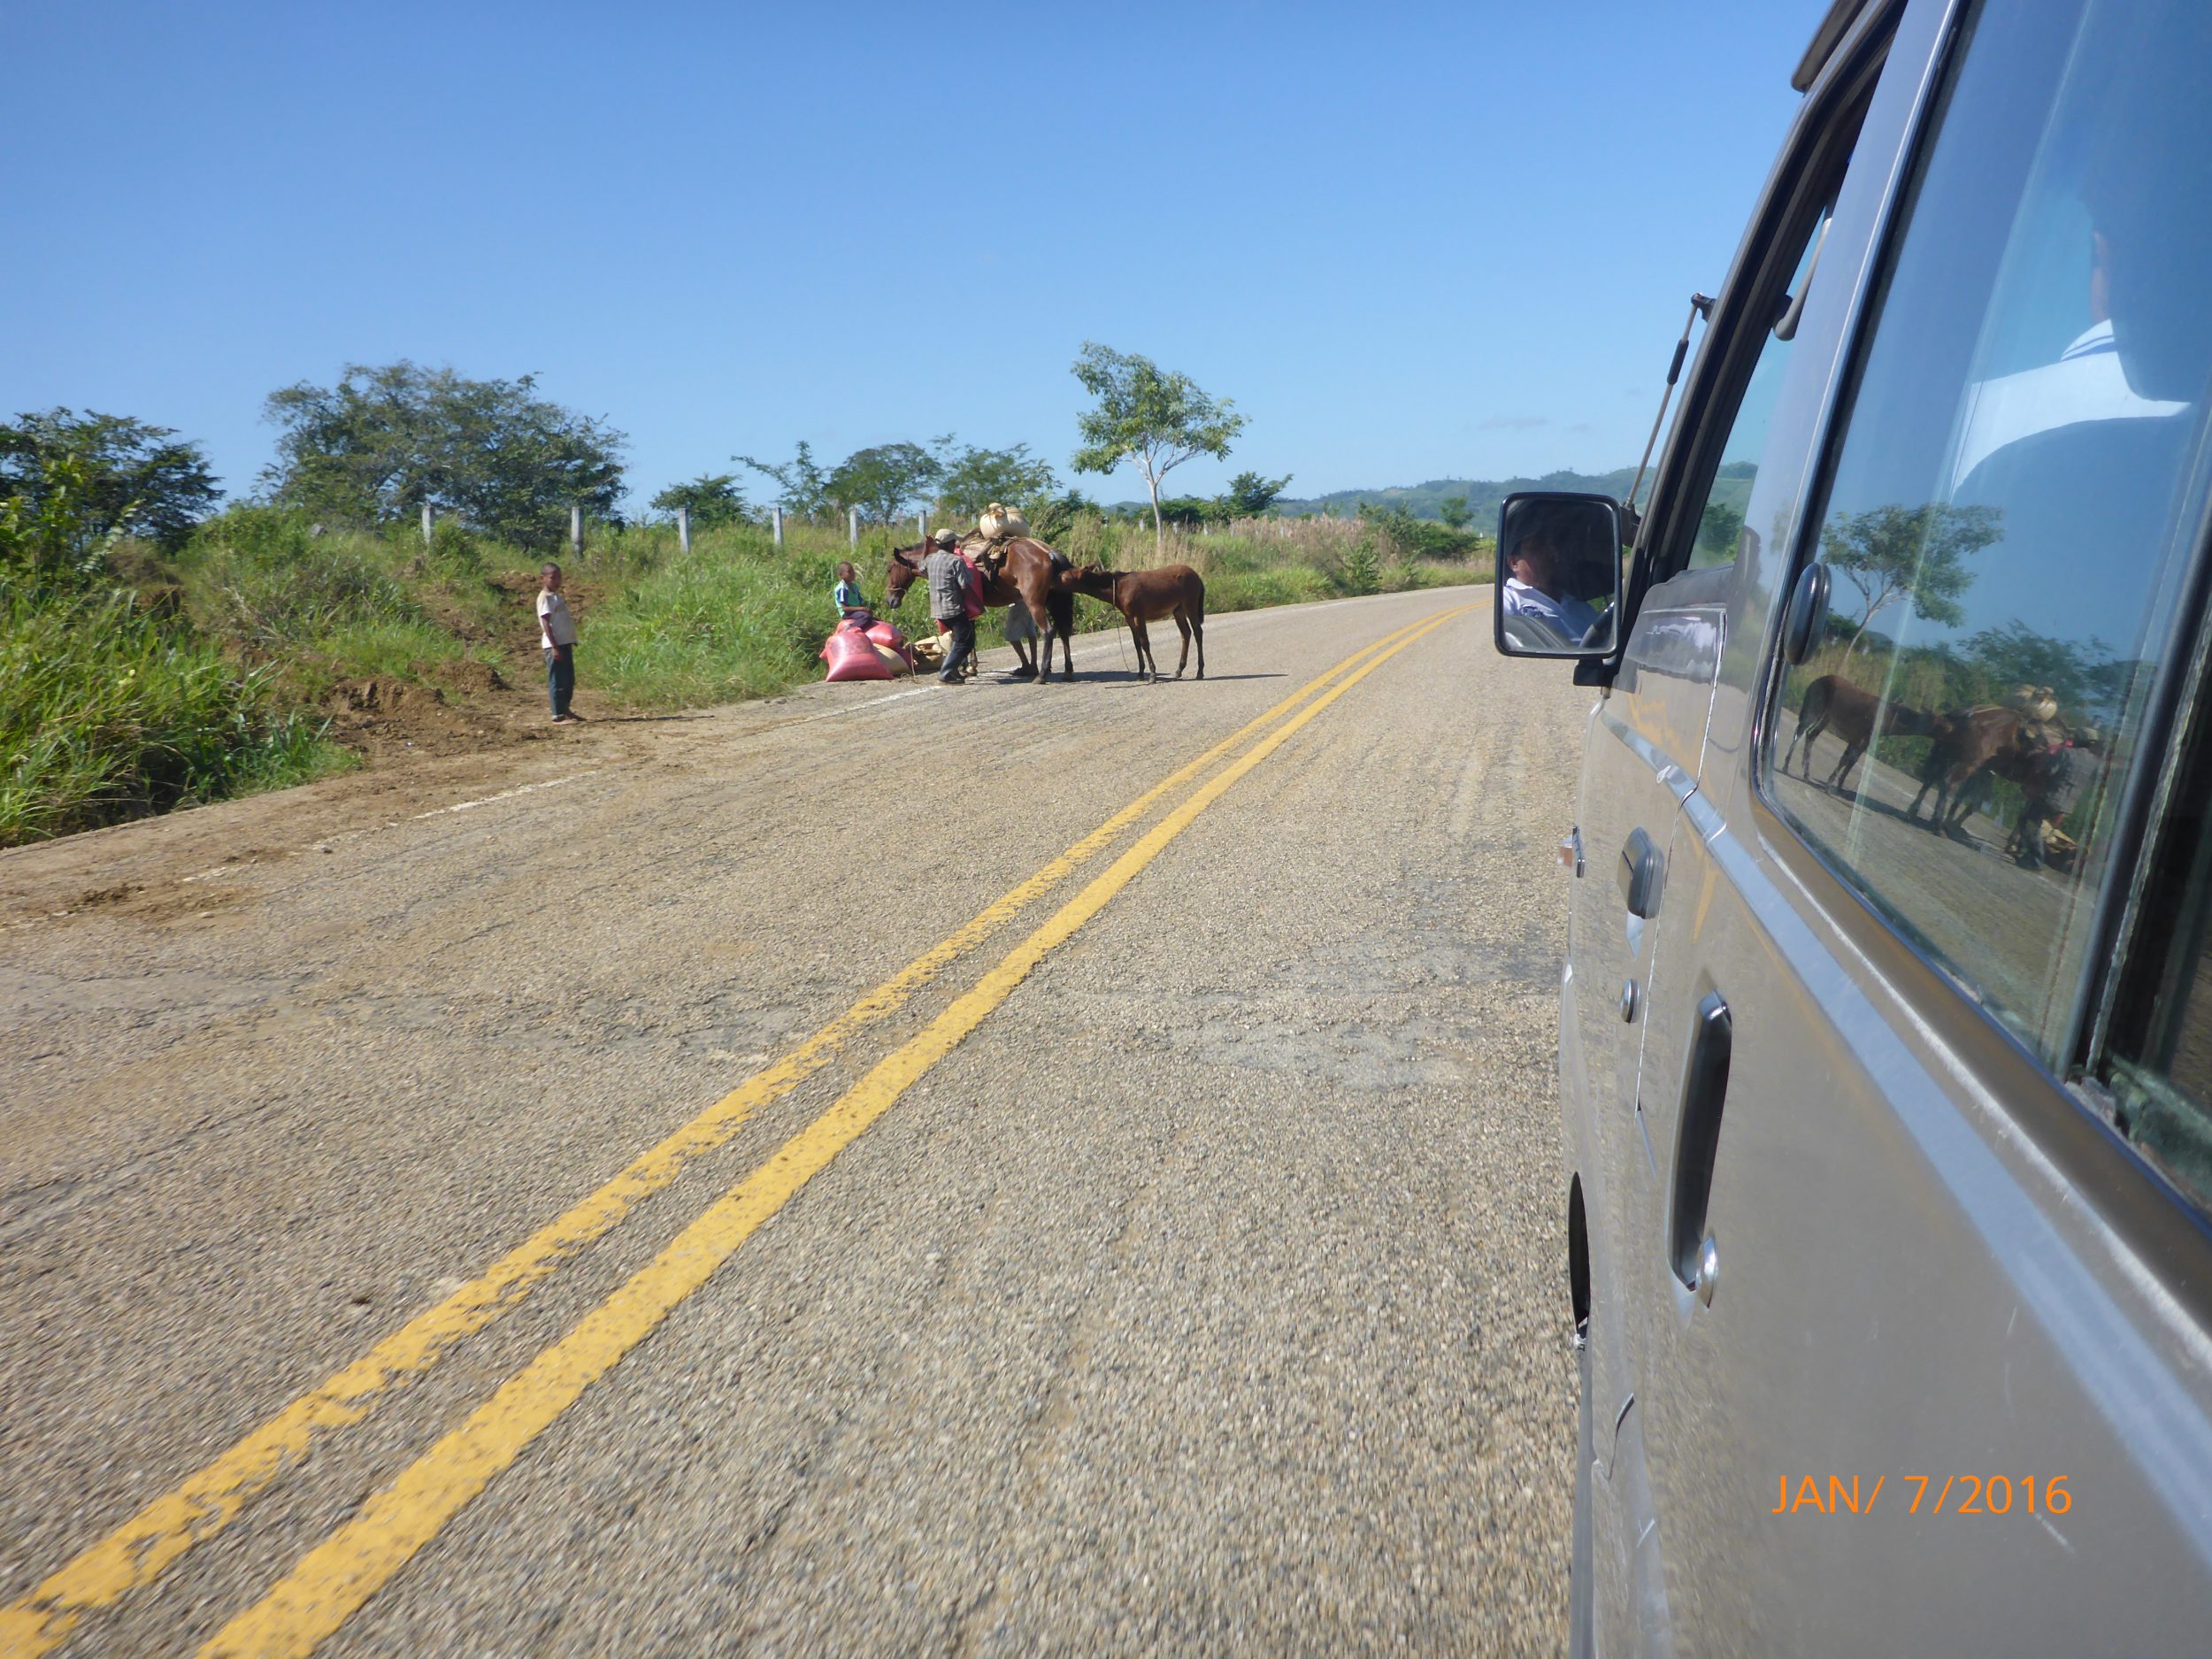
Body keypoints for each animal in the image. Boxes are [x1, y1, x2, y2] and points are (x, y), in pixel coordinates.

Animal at [889, 540, 1079, 681]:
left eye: (890, 569)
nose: (890, 600)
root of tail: (1049, 553)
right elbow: (969, 634)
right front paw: (969, 666)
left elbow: (964, 635)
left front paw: (965, 668)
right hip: (1052, 602)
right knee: (1063, 631)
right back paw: (1066, 671)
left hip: (1035, 603)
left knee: (1048, 631)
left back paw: (1042, 674)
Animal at [1057, 566, 1203, 681]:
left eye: (1065, 578)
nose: (1054, 577)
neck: (1118, 590)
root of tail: (1197, 576)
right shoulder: (1129, 617)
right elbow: (1137, 643)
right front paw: (1140, 673)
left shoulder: (1139, 615)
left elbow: (1145, 643)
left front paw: (1152, 674)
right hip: (1178, 609)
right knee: (1186, 633)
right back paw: (1179, 670)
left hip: (1190, 603)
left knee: (1197, 632)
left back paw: (1200, 672)